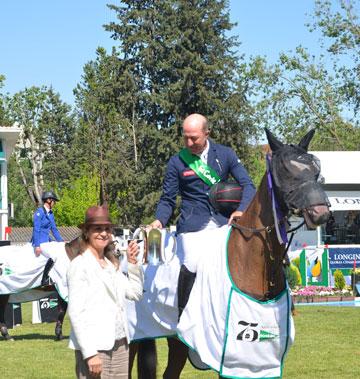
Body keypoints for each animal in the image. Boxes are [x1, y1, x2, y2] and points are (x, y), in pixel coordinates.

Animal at [132, 129, 330, 378]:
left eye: (316, 168)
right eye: (284, 170)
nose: (320, 213)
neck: (249, 258)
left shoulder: (261, 359)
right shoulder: (225, 353)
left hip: (176, 340)